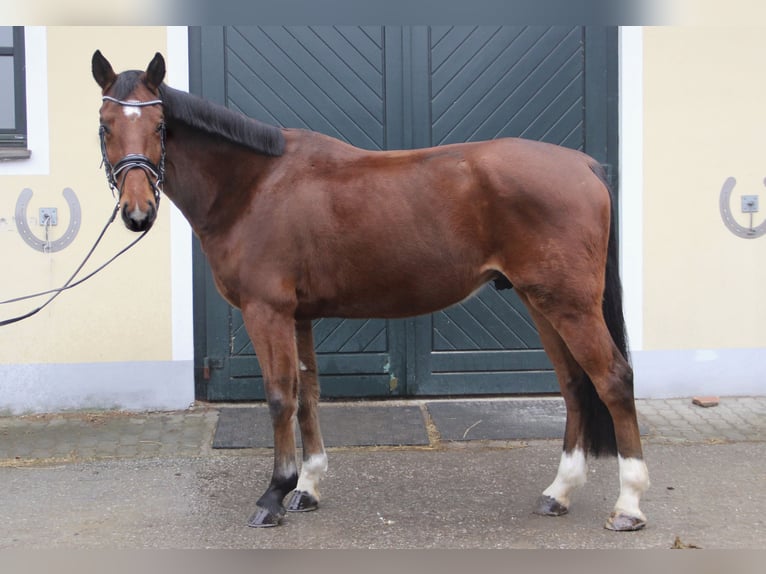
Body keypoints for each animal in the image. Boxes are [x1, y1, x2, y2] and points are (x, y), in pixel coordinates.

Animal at [93, 51, 652, 532]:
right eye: (105, 126)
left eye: (160, 127)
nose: (138, 213)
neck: (254, 185)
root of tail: (583, 166)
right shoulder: (298, 315)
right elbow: (308, 394)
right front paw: (307, 488)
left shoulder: (266, 311)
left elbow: (278, 396)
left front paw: (274, 494)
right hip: (540, 300)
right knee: (575, 385)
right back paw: (559, 492)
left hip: (570, 304)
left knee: (613, 379)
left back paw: (628, 504)